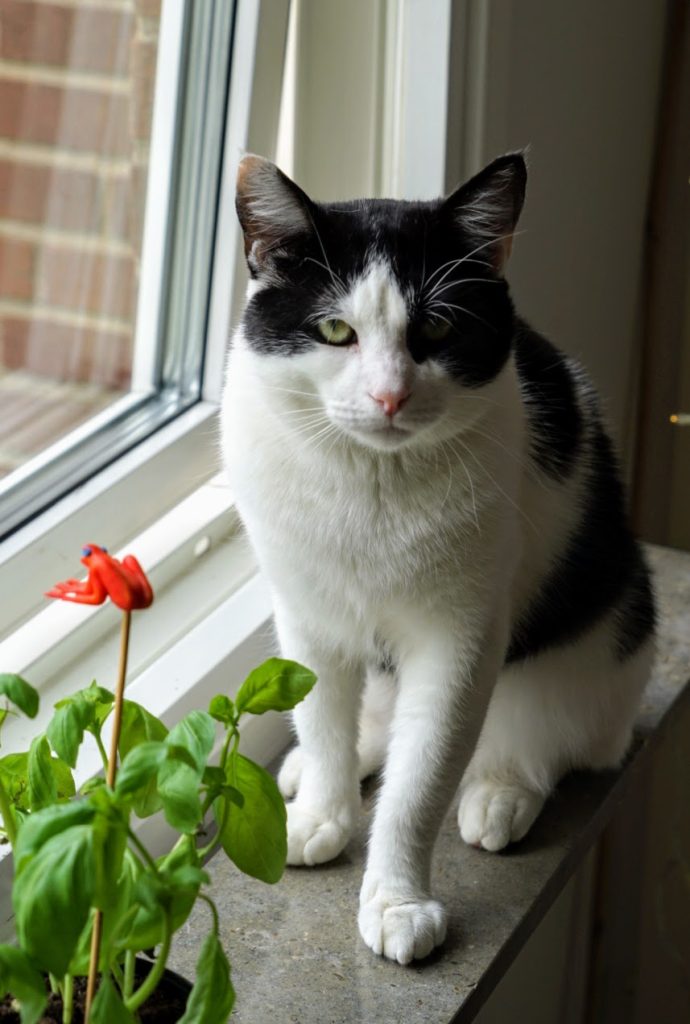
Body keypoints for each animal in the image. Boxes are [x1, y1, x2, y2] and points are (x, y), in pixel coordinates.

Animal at [221, 152, 656, 965]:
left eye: (438, 325)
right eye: (334, 329)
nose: (389, 396)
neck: (367, 477)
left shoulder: (459, 639)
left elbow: (420, 782)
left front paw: (398, 903)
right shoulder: (306, 612)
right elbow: (322, 719)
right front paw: (321, 814)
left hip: (603, 644)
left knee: (552, 738)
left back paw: (501, 793)